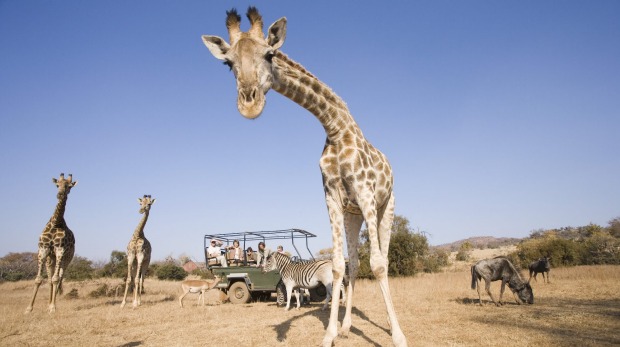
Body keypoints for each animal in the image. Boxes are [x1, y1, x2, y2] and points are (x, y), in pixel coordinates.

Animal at [25, 173, 77, 314]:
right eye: (57, 185)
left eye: (69, 186)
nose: (60, 194)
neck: (55, 223)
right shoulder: (43, 250)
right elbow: (38, 279)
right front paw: (29, 308)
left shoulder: (60, 250)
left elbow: (56, 279)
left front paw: (53, 307)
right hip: (50, 259)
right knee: (49, 279)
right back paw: (48, 303)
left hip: (66, 259)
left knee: (59, 277)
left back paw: (52, 304)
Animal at [202, 6, 406, 346]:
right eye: (228, 63)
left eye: (270, 54)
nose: (249, 105)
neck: (336, 128)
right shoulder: (333, 198)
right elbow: (337, 266)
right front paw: (331, 334)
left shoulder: (365, 193)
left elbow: (378, 264)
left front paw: (399, 337)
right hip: (353, 216)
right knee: (354, 263)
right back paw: (349, 326)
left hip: (384, 206)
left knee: (383, 260)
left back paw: (392, 327)